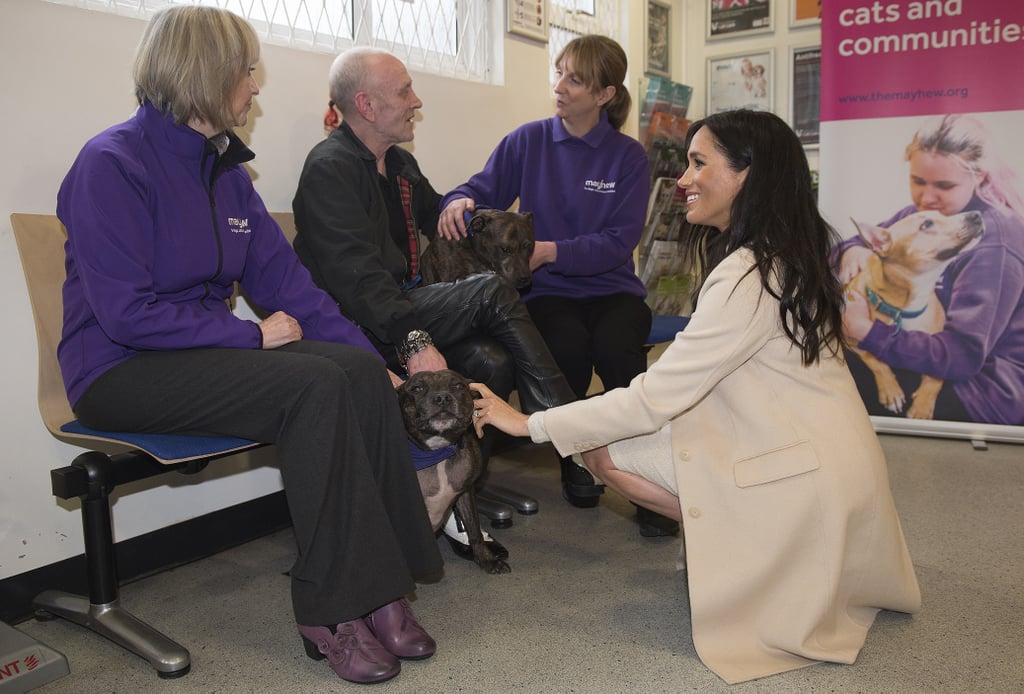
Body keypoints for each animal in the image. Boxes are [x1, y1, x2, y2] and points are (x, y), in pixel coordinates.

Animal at [397, 370, 512, 577]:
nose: (442, 398)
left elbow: (474, 530)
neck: (438, 453)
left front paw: (487, 560)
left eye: (458, 386)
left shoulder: (466, 492)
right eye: (417, 388)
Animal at [843, 209, 978, 421]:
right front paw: (891, 390)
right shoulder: (850, 336)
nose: (977, 214)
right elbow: (874, 358)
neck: (904, 307)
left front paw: (922, 405)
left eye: (944, 215)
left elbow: (938, 372)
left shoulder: (944, 349)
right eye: (927, 224)